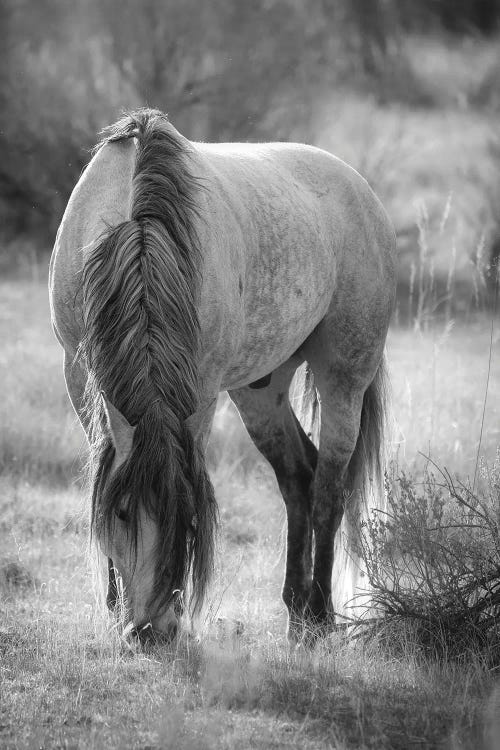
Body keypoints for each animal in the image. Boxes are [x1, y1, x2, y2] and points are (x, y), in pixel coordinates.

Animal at [48, 108, 396, 644]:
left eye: (186, 517)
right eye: (124, 513)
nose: (151, 631)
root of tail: (359, 187)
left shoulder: (202, 392)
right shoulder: (78, 374)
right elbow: (103, 473)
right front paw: (111, 605)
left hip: (343, 376)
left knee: (328, 490)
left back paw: (319, 615)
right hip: (261, 391)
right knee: (298, 478)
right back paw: (295, 610)